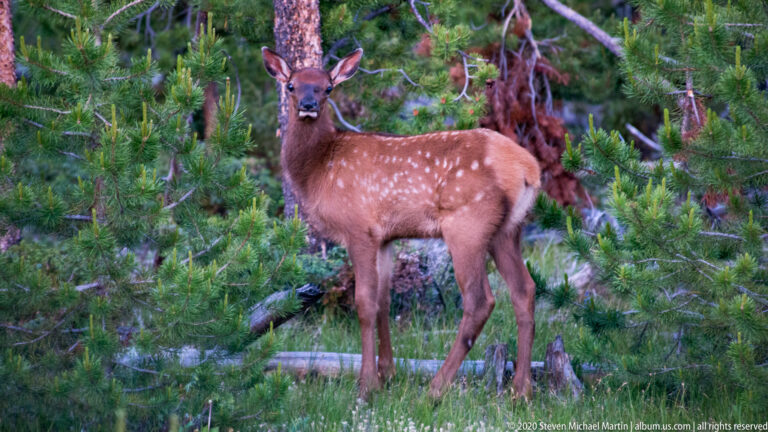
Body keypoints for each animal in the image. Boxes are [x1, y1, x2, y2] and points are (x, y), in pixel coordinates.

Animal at [262, 47, 541, 401]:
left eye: (327, 88)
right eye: (291, 86)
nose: (309, 105)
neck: (320, 169)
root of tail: (529, 168)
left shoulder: (359, 228)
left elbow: (365, 303)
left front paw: (366, 384)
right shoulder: (385, 237)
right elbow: (383, 301)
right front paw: (387, 374)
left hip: (468, 224)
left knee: (480, 301)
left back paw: (436, 388)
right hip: (507, 230)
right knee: (524, 290)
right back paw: (521, 390)